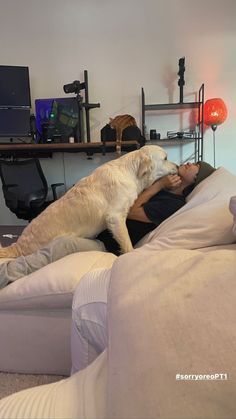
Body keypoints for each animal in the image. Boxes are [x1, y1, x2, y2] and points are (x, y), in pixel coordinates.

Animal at [0, 148, 176, 260]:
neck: (130, 173)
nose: (177, 165)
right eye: (166, 158)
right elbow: (127, 243)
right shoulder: (115, 217)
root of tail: (17, 246)